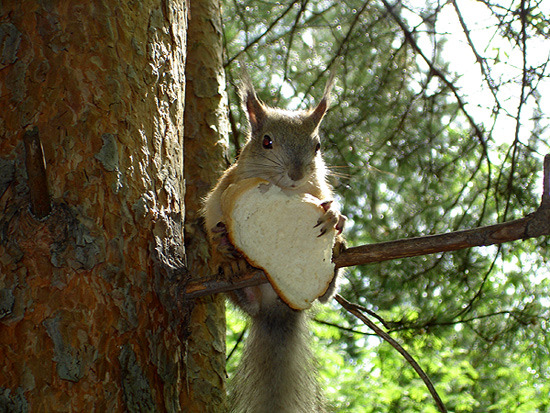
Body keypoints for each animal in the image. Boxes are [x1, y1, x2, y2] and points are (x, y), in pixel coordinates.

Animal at [205, 71, 348, 412]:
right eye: (266, 141)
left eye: (317, 146)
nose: (296, 174)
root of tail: (276, 308)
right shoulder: (223, 189)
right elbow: (211, 215)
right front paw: (222, 243)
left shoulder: (319, 189)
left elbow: (328, 202)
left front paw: (334, 215)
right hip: (243, 296)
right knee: (248, 304)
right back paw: (234, 269)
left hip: (321, 287)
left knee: (326, 294)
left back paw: (336, 256)